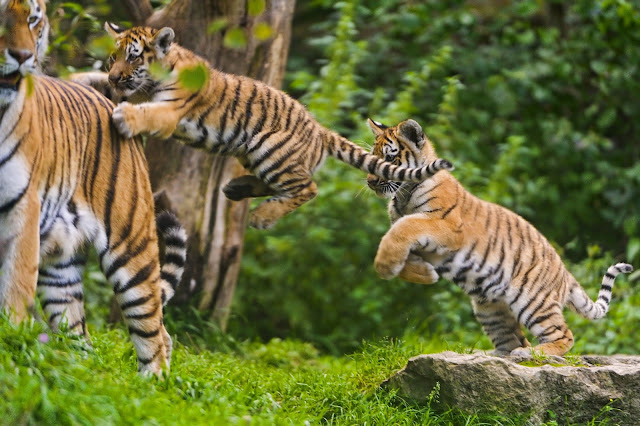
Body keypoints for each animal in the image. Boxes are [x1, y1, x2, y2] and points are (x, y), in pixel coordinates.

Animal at [1, 0, 188, 374]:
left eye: (33, 18)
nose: (23, 56)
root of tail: (111, 101)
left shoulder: (21, 212)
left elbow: (14, 293)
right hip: (60, 265)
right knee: (80, 335)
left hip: (130, 244)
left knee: (155, 330)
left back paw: (151, 385)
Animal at [87, 23, 452, 230]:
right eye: (113, 57)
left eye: (134, 57)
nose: (114, 77)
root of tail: (319, 129)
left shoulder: (171, 110)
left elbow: (147, 113)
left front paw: (125, 117)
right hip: (252, 154)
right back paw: (237, 190)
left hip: (270, 150)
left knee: (308, 188)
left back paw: (261, 217)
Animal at [368, 117, 632, 356]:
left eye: (389, 158)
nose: (370, 182)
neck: (402, 197)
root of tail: (565, 273)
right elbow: (402, 248)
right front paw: (422, 273)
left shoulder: (446, 227)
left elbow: (403, 227)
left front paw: (385, 265)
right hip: (489, 308)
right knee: (513, 339)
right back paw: (492, 355)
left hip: (533, 300)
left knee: (563, 336)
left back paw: (531, 354)